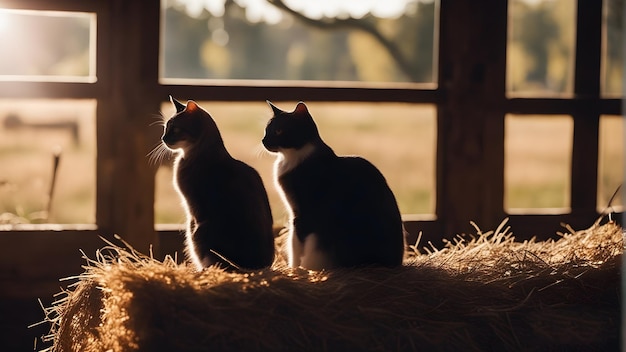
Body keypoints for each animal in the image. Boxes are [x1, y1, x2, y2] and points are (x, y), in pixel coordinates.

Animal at [260, 102, 402, 270]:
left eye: (278, 131)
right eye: (267, 130)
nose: (263, 140)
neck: (290, 158)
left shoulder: (301, 214)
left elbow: (295, 246)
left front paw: (295, 270)